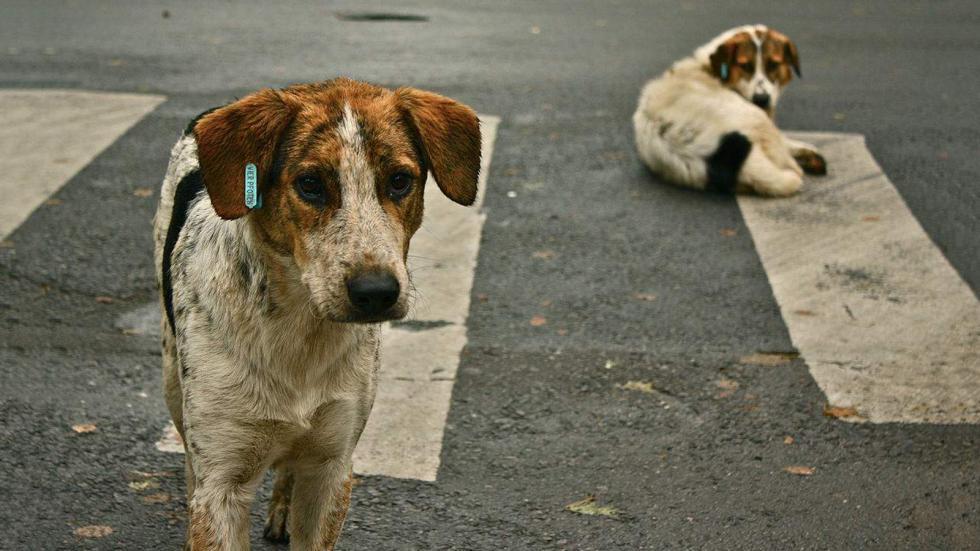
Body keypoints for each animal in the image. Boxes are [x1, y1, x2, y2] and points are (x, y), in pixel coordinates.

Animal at [152, 78, 482, 551]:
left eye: (400, 181)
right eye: (309, 184)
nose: (376, 292)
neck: (300, 329)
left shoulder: (332, 467)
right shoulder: (222, 481)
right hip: (172, 383)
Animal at [636, 25, 828, 198]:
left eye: (773, 64)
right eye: (745, 66)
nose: (761, 99)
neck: (709, 68)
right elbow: (786, 141)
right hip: (756, 118)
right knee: (788, 164)